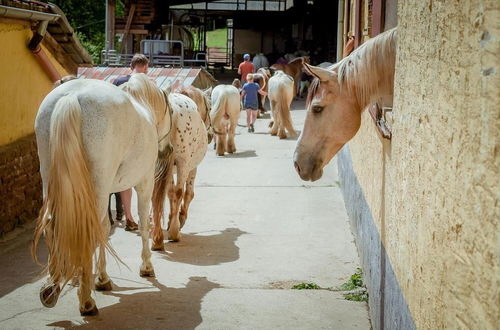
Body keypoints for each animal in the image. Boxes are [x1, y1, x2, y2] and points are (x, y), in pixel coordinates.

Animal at [150, 89, 209, 246]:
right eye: (209, 108)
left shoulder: (168, 169)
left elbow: (168, 193)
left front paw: (171, 219)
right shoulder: (191, 168)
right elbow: (188, 194)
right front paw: (179, 218)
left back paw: (157, 237)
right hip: (183, 163)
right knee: (178, 192)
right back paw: (174, 232)